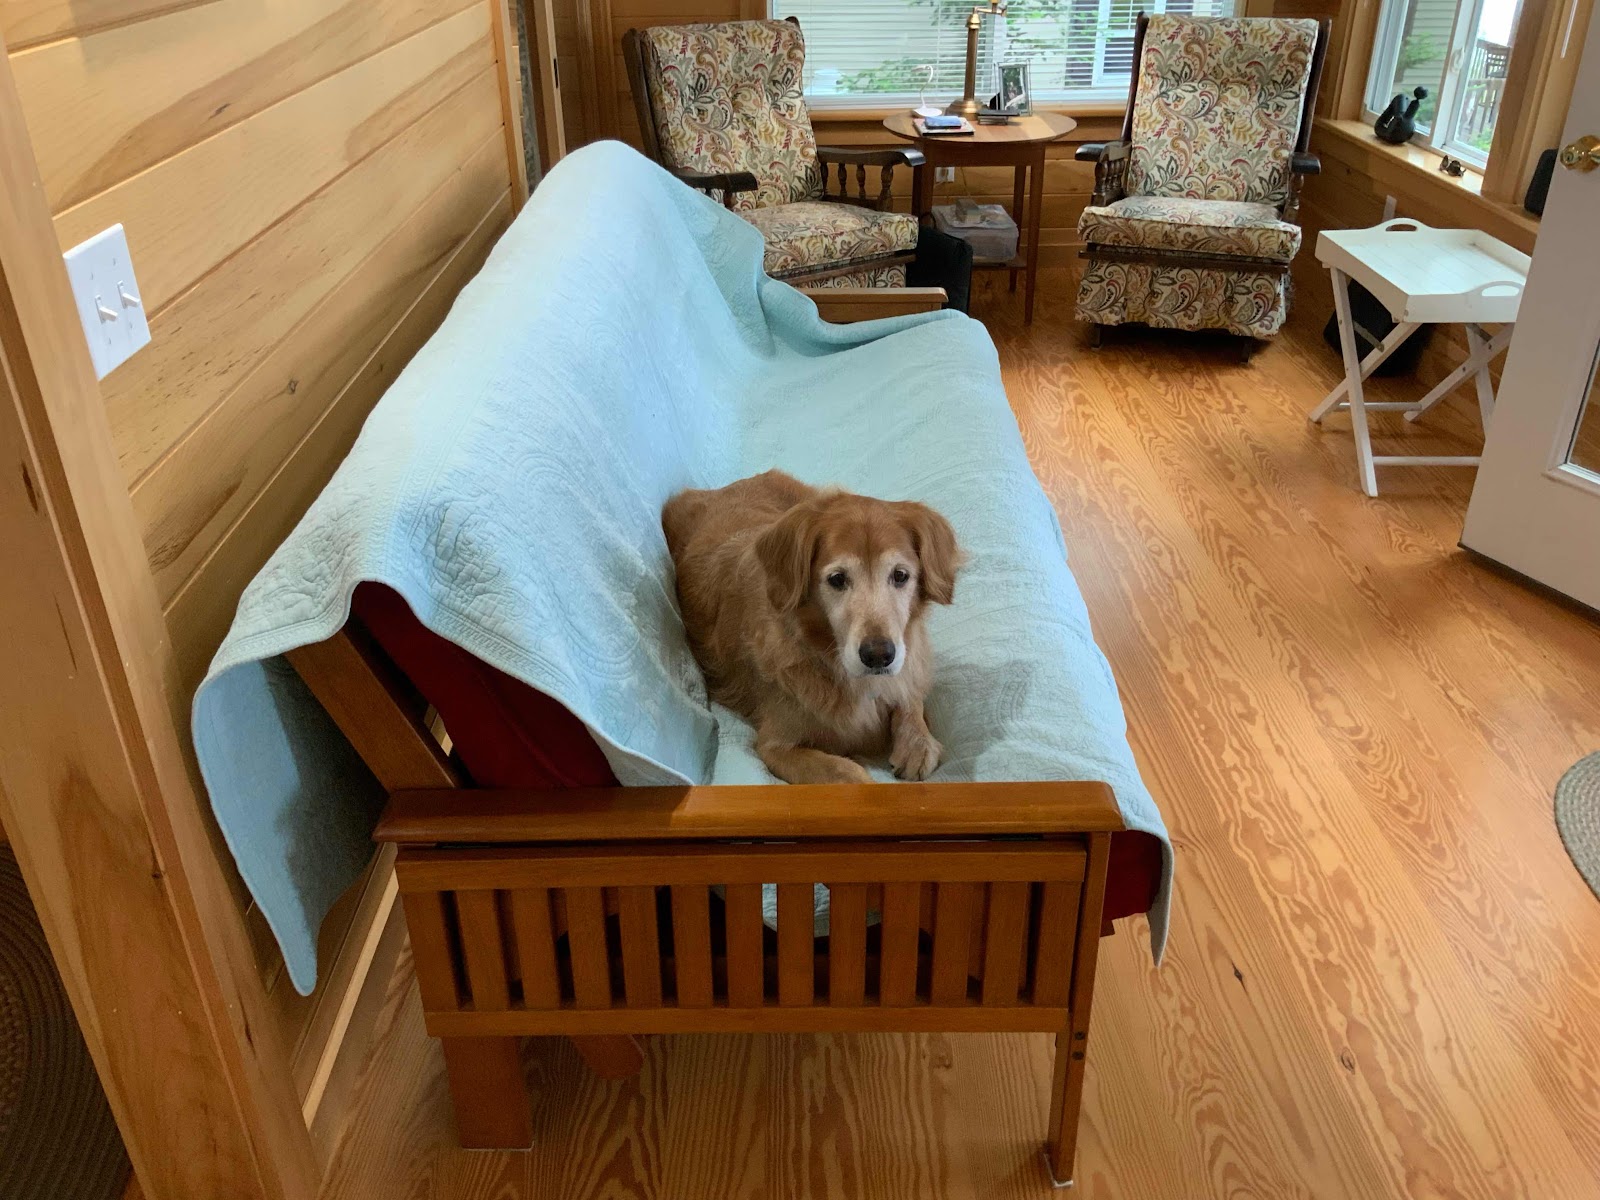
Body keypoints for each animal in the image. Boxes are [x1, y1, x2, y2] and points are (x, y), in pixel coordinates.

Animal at [663, 469, 961, 785]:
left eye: (901, 575)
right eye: (837, 579)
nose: (879, 655)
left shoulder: (909, 662)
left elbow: (910, 695)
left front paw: (917, 742)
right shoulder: (777, 747)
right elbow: (845, 771)